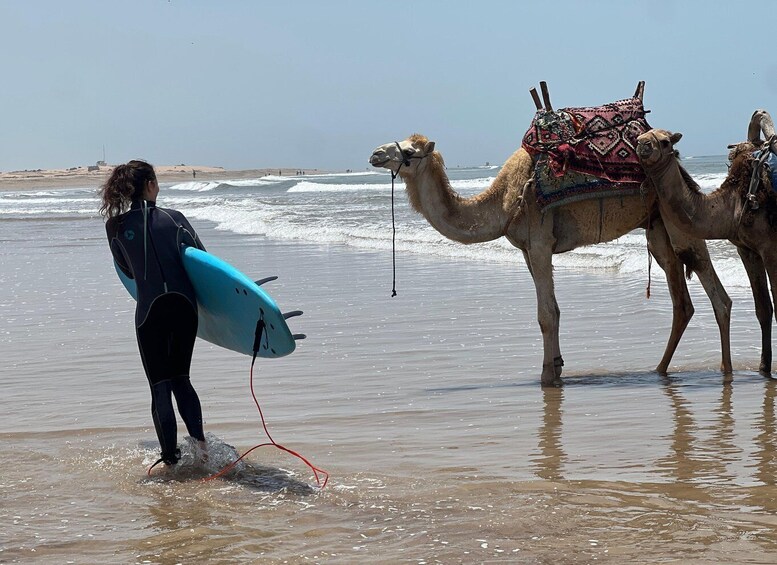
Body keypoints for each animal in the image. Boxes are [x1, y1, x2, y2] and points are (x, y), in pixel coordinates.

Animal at [369, 131, 734, 386]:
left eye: (409, 152)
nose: (375, 153)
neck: (504, 201)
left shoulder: (541, 240)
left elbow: (546, 313)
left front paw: (547, 377)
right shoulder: (528, 250)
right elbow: (553, 310)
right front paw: (556, 368)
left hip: (681, 224)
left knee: (717, 293)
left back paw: (725, 370)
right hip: (657, 229)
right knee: (681, 302)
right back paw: (660, 369)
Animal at [637, 110, 777, 375]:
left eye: (665, 141)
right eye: (640, 136)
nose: (643, 144)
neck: (733, 202)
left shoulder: (770, 248)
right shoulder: (746, 248)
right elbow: (763, 307)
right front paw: (764, 367)